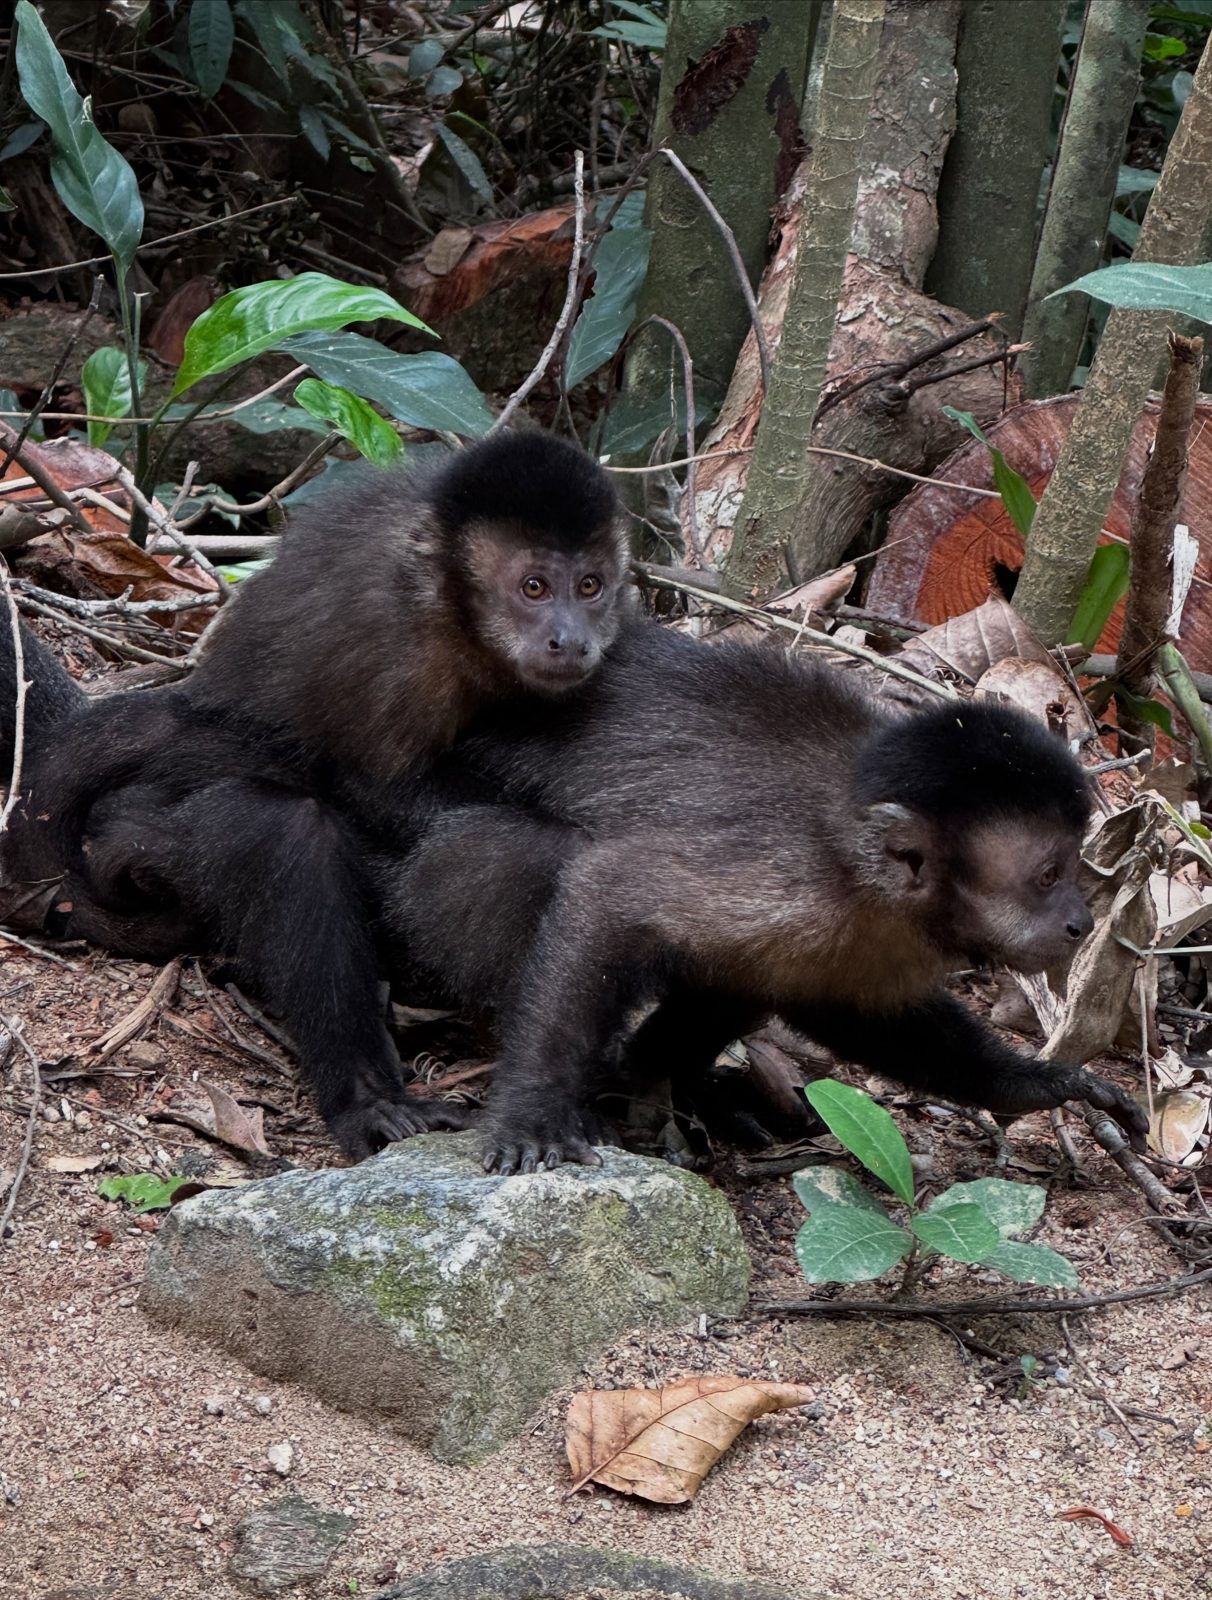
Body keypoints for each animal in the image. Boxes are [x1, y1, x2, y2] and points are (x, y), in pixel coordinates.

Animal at [0, 431, 633, 1158]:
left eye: (589, 586)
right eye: (534, 587)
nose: (571, 638)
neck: (455, 617)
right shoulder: (390, 643)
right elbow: (363, 780)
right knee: (287, 828)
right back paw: (365, 1097)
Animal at [378, 623, 1149, 1174]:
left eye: (1071, 869)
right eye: (1048, 876)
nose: (1081, 922)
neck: (853, 860)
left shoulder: (859, 930)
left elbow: (857, 1011)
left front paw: (1043, 1085)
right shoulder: (787, 880)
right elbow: (609, 893)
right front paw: (535, 1109)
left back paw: (657, 1074)